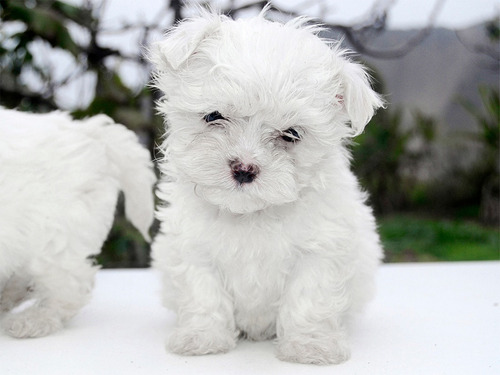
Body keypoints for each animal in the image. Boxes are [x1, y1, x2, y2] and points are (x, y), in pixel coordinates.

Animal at [150, 8, 384, 366]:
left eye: (291, 134)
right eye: (213, 116)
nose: (244, 169)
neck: (251, 214)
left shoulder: (322, 249)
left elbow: (309, 298)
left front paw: (310, 345)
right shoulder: (192, 249)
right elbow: (203, 293)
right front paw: (202, 337)